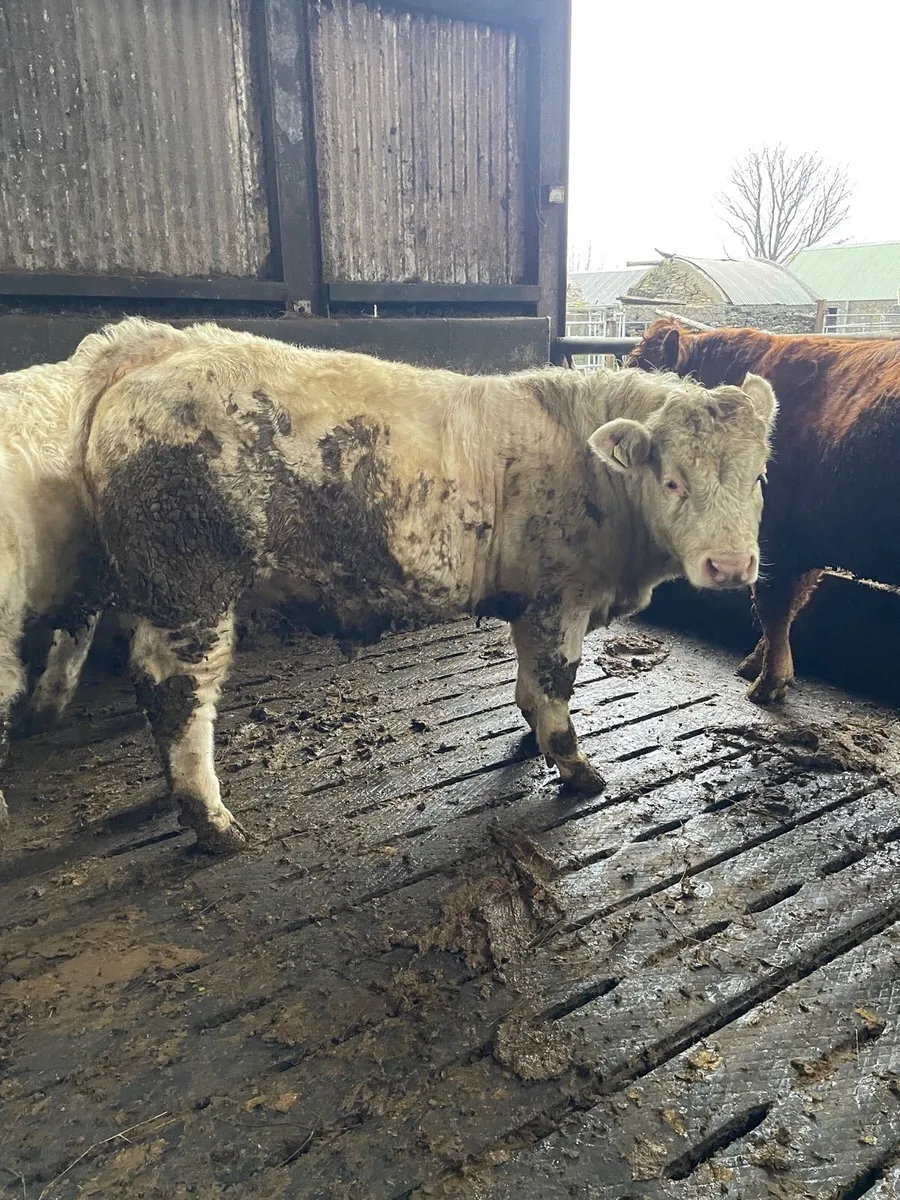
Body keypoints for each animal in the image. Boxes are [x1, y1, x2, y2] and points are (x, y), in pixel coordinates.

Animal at [5, 316, 774, 854]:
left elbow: (530, 685)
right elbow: (555, 685)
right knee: (177, 694)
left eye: (760, 475)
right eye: (672, 480)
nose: (732, 566)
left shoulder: (529, 601)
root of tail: (162, 343)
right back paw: (213, 823)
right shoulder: (561, 597)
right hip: (191, 584)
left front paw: (531, 739)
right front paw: (576, 768)